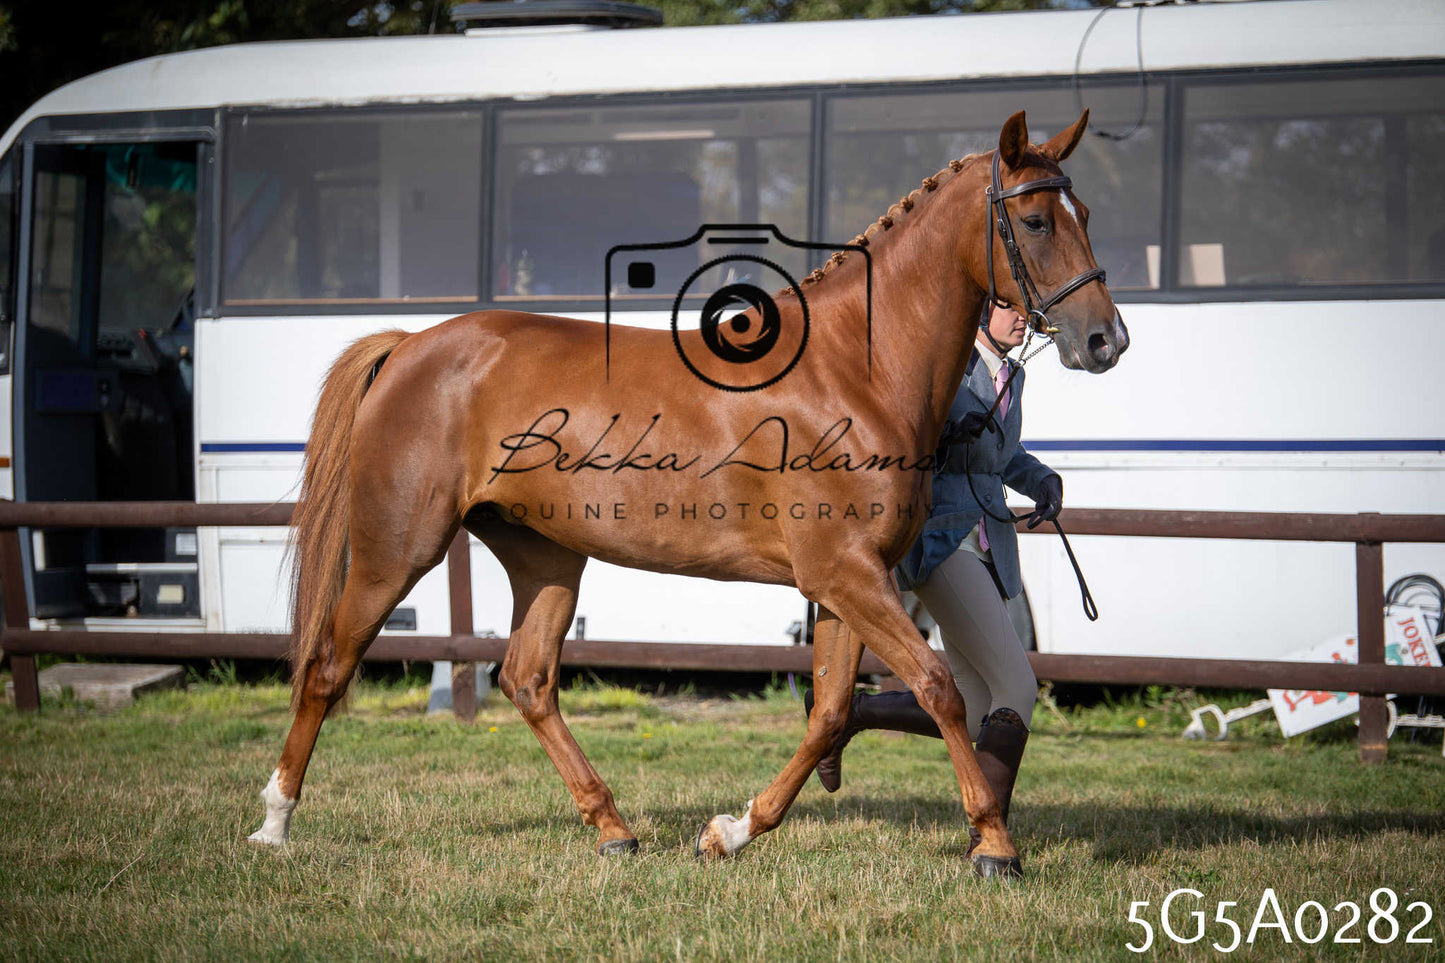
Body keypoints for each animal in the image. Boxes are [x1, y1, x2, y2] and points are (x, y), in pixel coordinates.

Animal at [248, 110, 1128, 879]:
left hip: (545, 555)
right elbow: (937, 687)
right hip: (398, 548)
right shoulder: (844, 573)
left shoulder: (850, 580)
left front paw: (730, 831)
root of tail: (408, 347)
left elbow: (830, 711)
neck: (852, 368)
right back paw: (273, 823)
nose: (1105, 339)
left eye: (1085, 211)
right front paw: (994, 846)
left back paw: (613, 828)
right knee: (327, 664)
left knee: (528, 679)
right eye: (1037, 221)